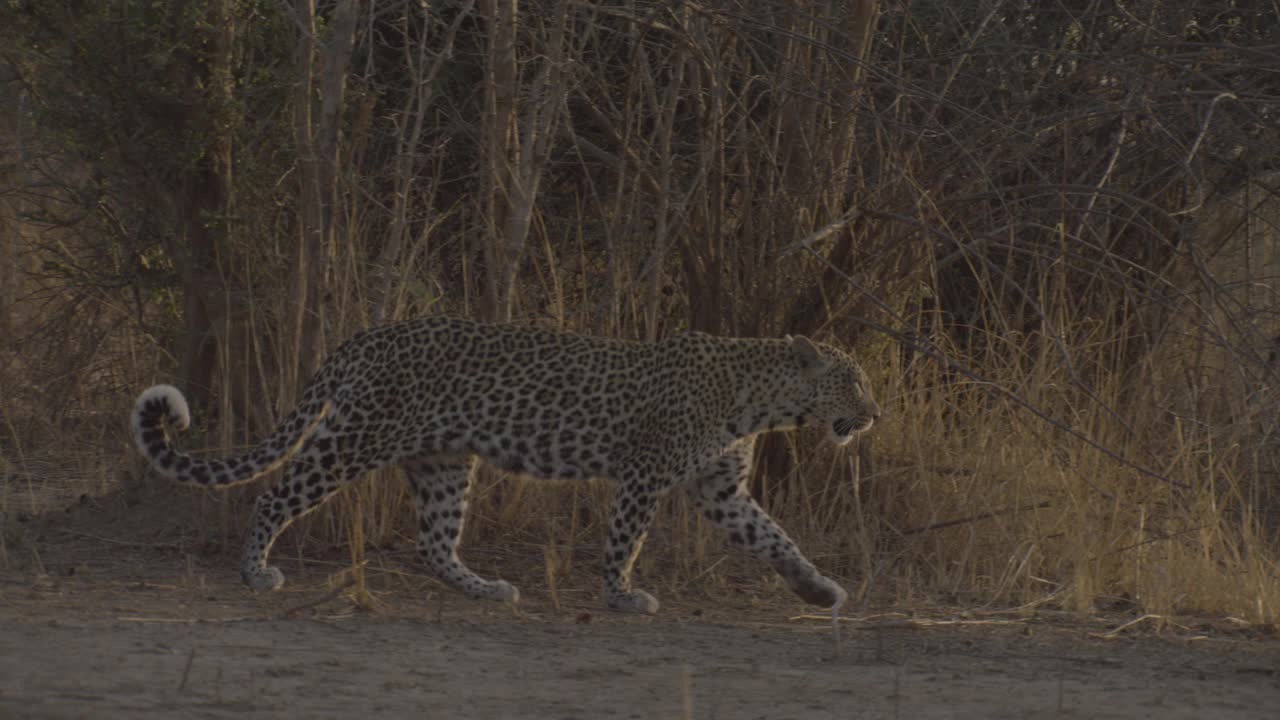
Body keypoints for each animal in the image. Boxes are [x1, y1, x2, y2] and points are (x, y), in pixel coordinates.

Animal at [129, 313, 875, 609]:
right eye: (853, 382)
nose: (873, 416)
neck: (760, 400)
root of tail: (365, 336)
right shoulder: (645, 474)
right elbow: (625, 541)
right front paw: (621, 596)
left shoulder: (721, 490)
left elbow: (777, 539)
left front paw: (819, 590)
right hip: (356, 437)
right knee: (275, 493)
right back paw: (255, 571)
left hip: (442, 461)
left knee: (435, 543)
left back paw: (487, 589)